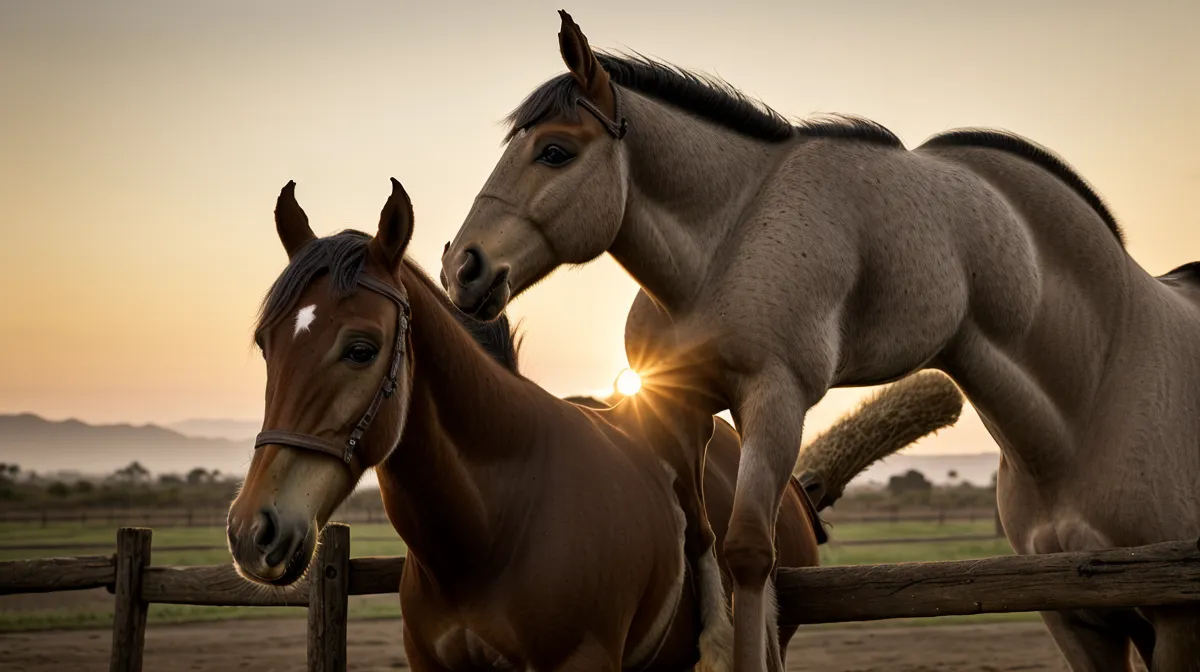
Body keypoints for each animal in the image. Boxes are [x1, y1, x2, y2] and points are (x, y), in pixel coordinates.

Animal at [441, 10, 1200, 671]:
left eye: (555, 152)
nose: (462, 267)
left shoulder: (776, 399)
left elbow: (750, 551)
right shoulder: (683, 404)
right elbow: (703, 538)